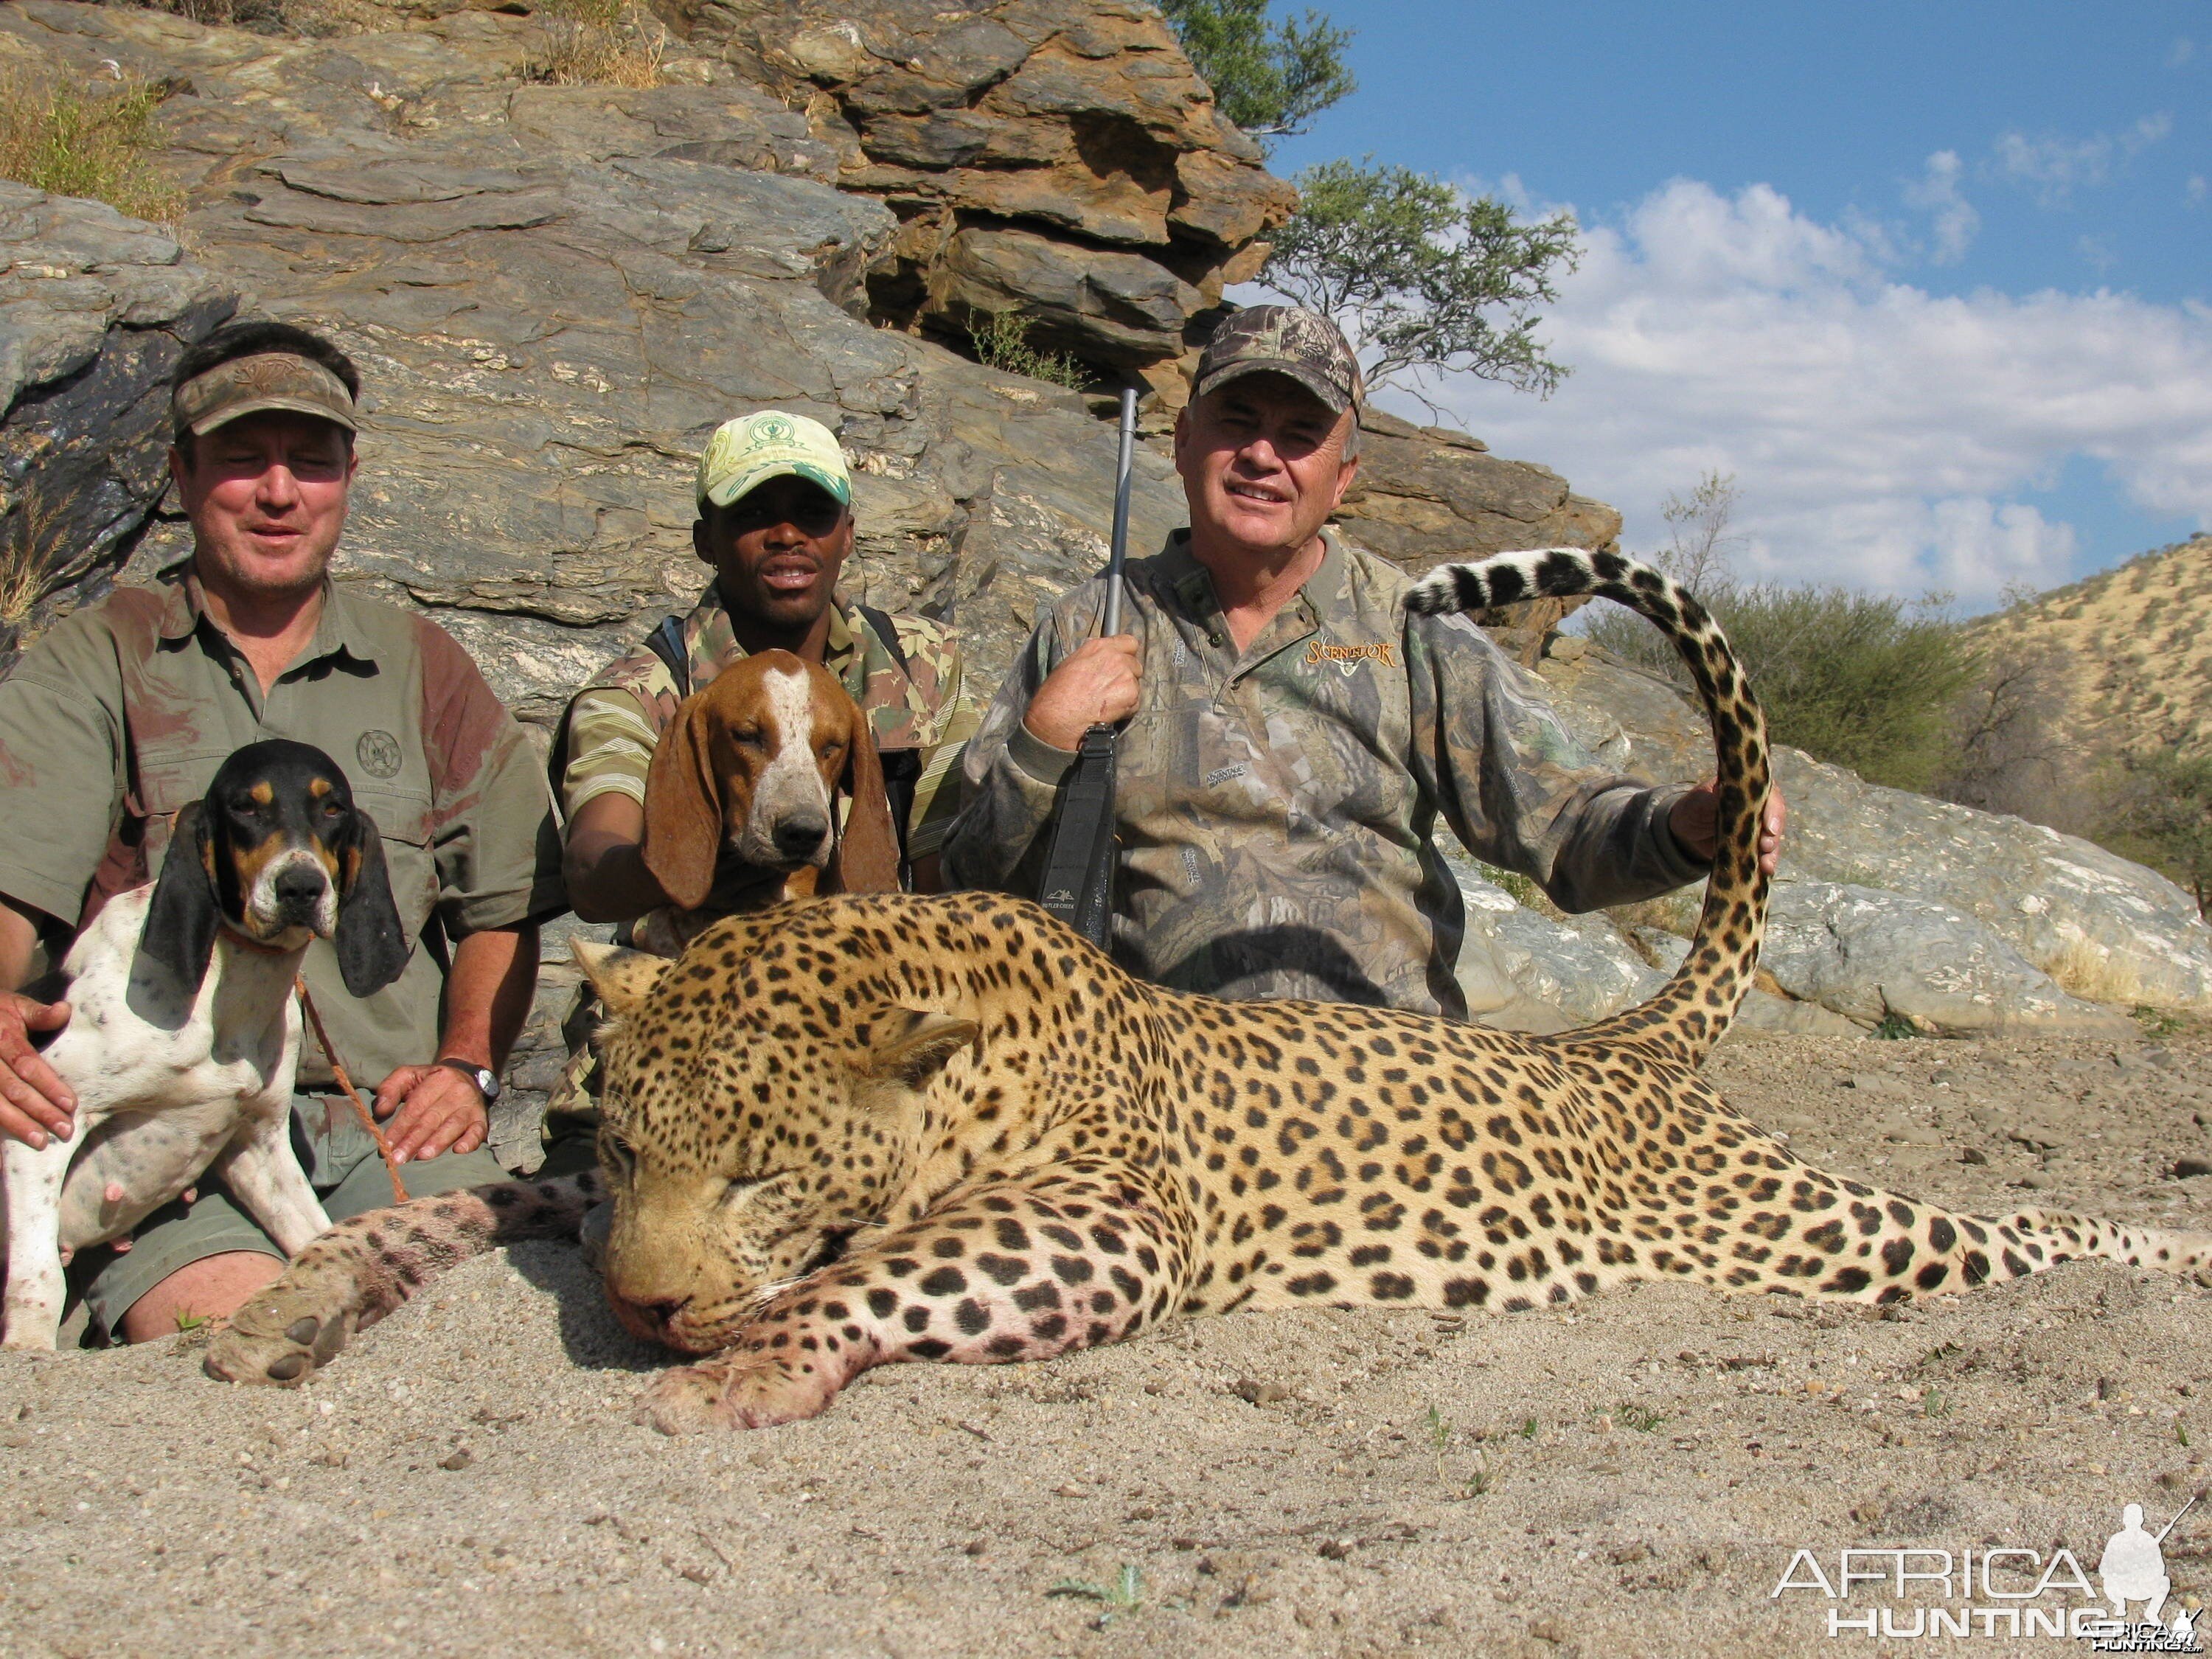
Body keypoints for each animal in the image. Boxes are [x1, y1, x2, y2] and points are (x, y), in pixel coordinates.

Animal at [1, 739, 409, 1354]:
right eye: (245, 807)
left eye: (332, 807)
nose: (300, 887)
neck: (230, 981)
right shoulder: (43, 1129)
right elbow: (38, 1278)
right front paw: (26, 1346)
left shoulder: (258, 1144)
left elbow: (321, 1234)